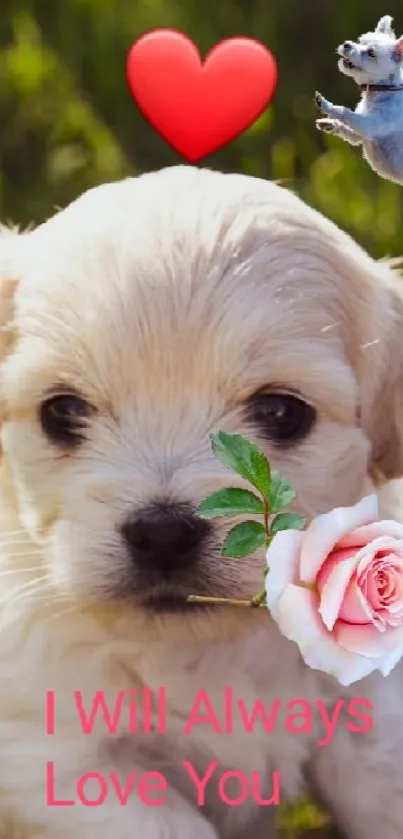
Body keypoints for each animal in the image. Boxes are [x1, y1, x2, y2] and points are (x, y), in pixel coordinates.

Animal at [0, 166, 403, 839]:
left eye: (281, 412)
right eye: (63, 411)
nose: (162, 532)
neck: (204, 649)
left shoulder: (365, 707)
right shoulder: (56, 755)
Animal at [316, 13, 403, 185]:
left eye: (371, 53)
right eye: (360, 41)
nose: (347, 44)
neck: (384, 90)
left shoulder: (368, 125)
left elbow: (344, 111)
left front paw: (326, 105)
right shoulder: (358, 134)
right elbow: (345, 126)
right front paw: (329, 123)